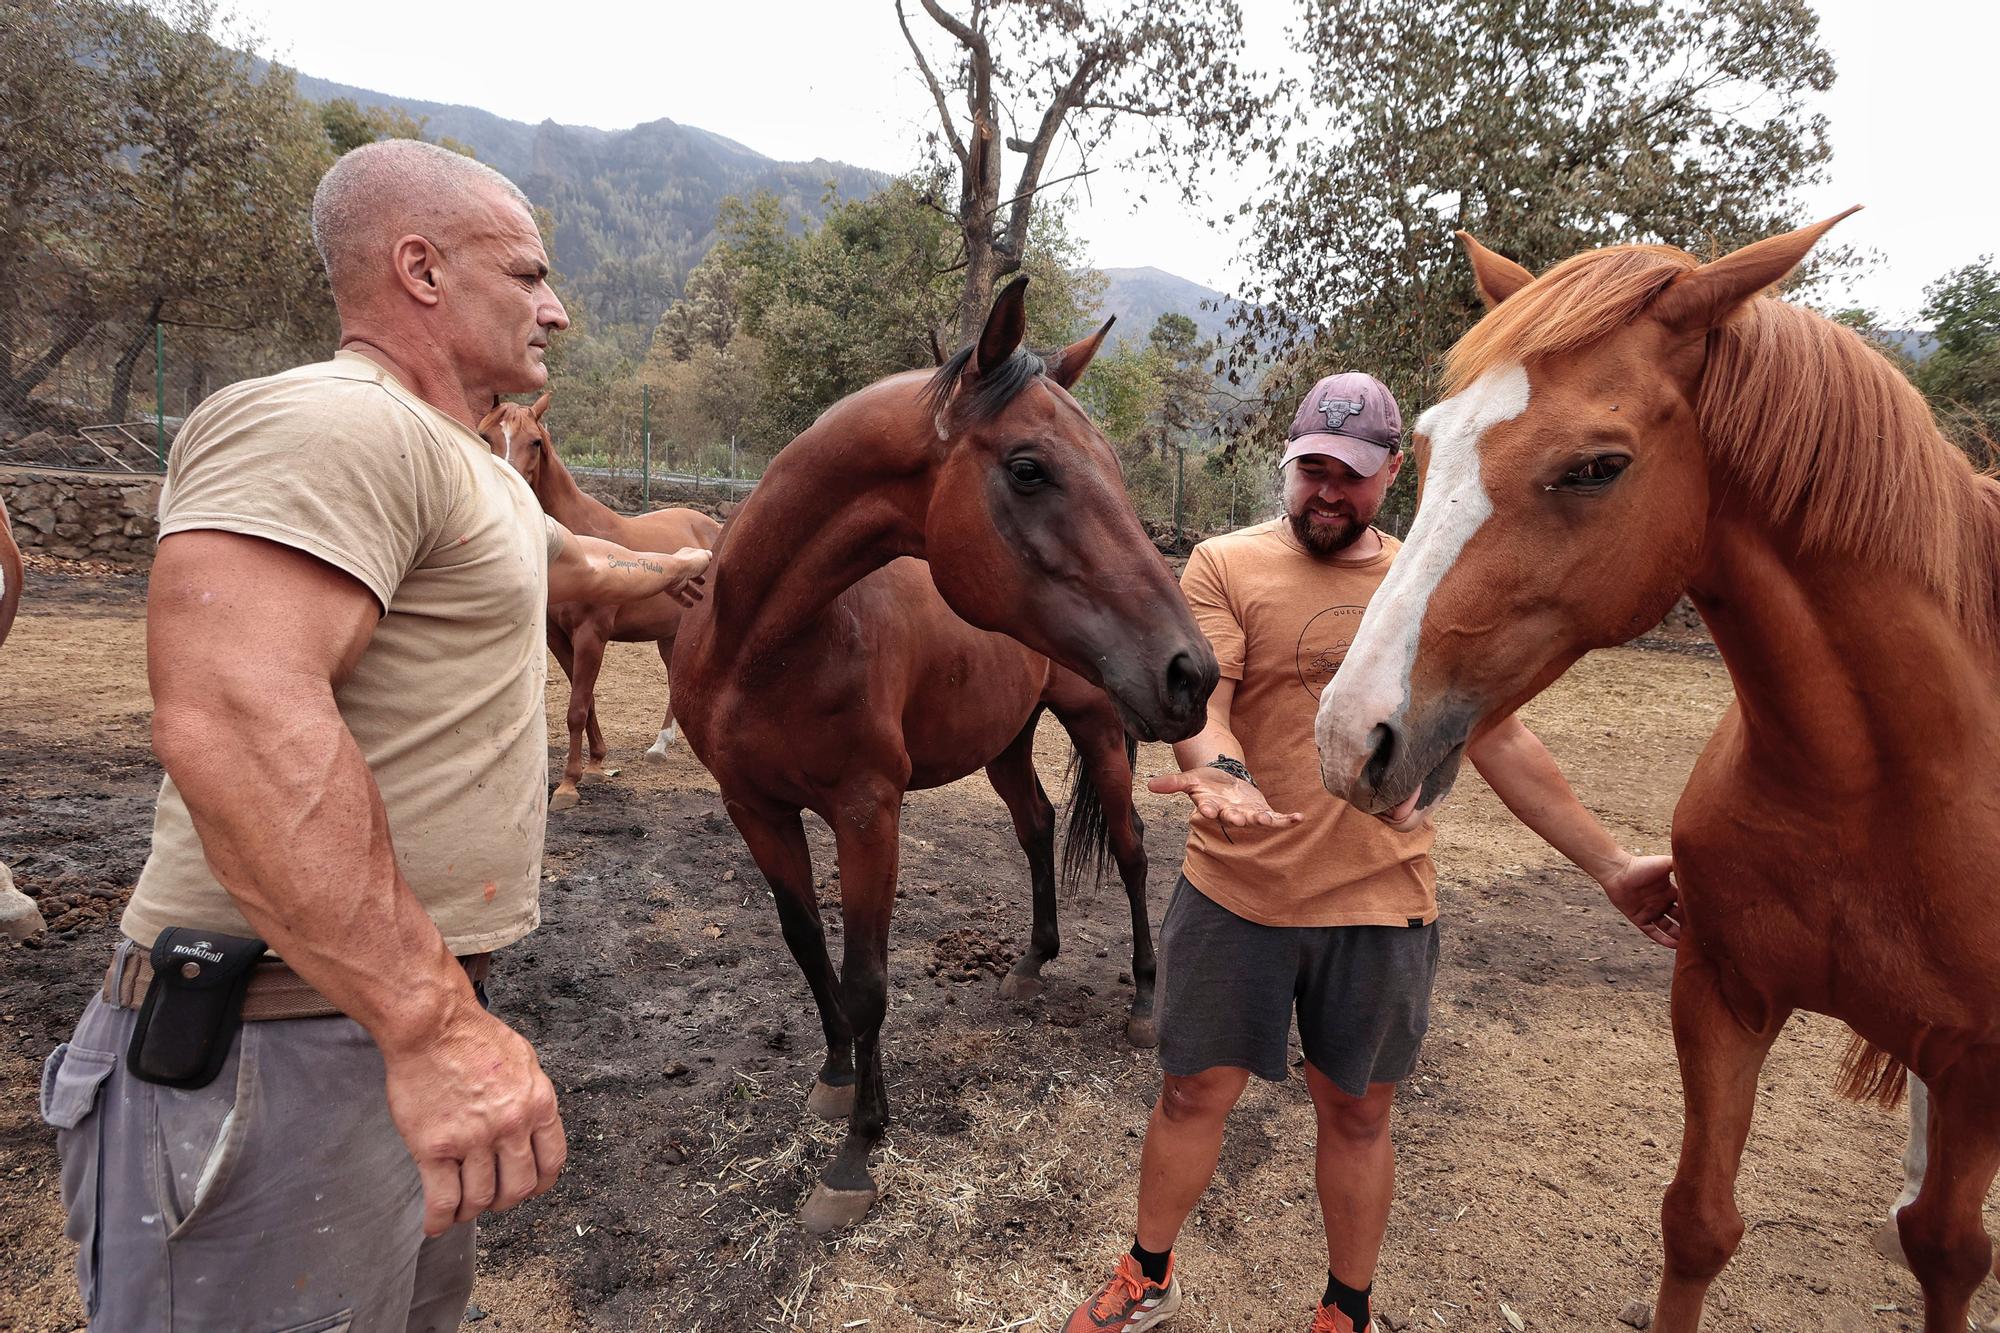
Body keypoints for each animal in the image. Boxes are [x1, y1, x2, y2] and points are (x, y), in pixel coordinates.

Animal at [474, 394, 720, 804]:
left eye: (535, 442)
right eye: (484, 435)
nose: (508, 491)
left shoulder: (592, 634)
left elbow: (577, 706)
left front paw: (569, 784)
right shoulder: (557, 637)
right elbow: (584, 699)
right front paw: (594, 765)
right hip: (669, 635)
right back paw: (660, 745)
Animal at [672, 278, 1216, 1224]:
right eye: (1029, 468)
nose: (1193, 672)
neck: (761, 643)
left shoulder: (867, 813)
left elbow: (866, 978)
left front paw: (856, 1152)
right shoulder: (756, 808)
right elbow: (805, 943)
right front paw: (833, 1077)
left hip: (1098, 730)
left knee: (1132, 850)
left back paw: (1145, 1000)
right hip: (1004, 742)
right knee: (1037, 825)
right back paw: (1030, 964)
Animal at [1312, 213, 2000, 1320]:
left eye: (1596, 466)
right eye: (1425, 441)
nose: (1348, 735)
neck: (1873, 790)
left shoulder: (1980, 1065)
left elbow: (1945, 1250)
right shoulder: (1721, 994)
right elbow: (1698, 1221)